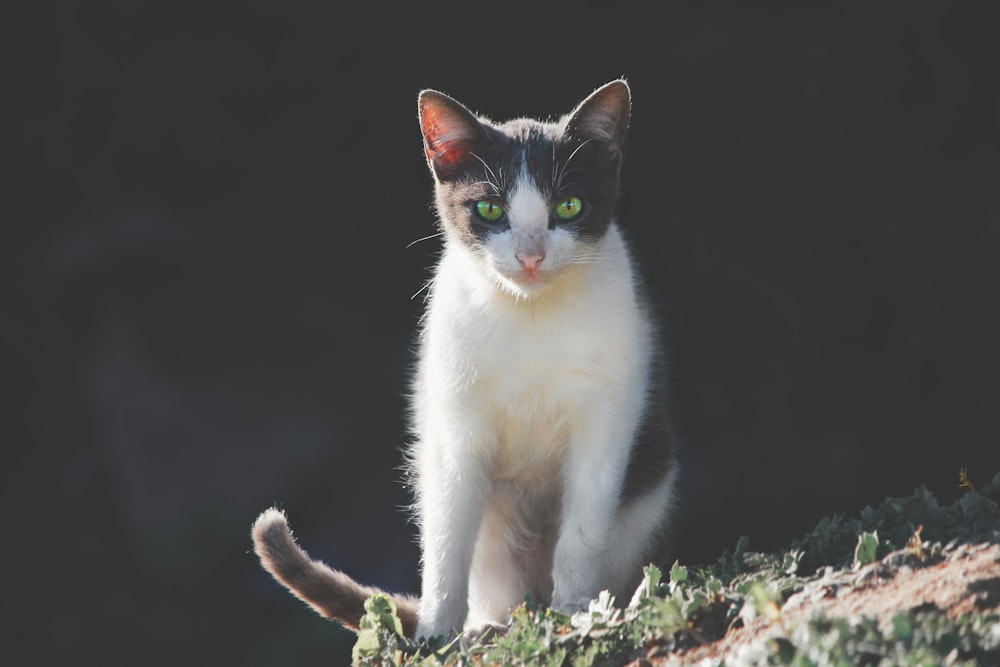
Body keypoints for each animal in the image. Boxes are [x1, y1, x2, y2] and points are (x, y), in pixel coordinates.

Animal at [256, 78, 680, 640]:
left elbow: (583, 529)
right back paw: (489, 626)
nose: (530, 255)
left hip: (647, 487)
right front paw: (436, 633)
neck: (529, 315)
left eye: (569, 207)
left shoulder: (607, 416)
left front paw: (576, 613)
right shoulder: (454, 424)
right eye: (491, 210)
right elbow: (447, 538)